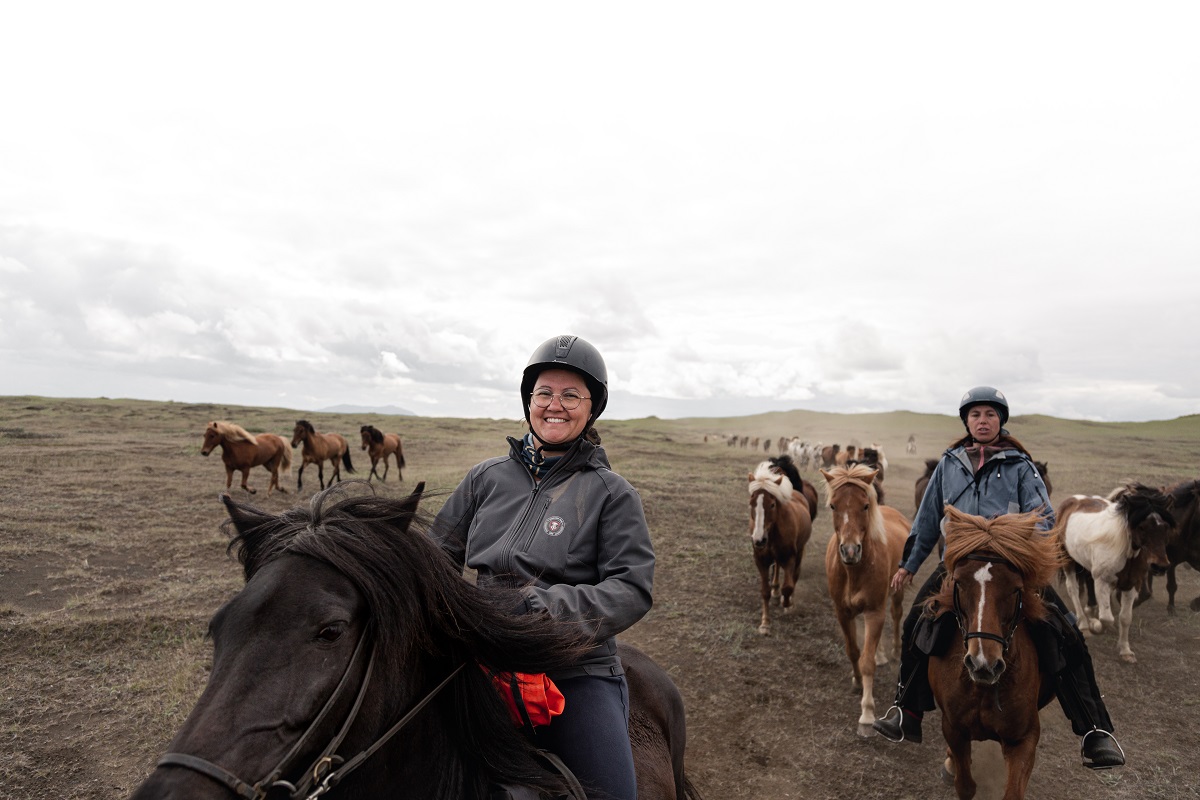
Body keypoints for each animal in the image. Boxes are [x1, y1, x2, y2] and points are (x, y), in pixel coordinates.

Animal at [744, 460, 820, 633]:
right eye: (751, 503)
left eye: (772, 504)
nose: (759, 540)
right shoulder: (760, 560)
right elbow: (765, 591)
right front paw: (765, 623)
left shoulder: (790, 557)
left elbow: (788, 586)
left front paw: (787, 603)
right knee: (777, 568)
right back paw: (775, 589)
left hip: (799, 552)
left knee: (795, 575)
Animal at [825, 462, 907, 738]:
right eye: (833, 505)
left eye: (864, 505)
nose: (850, 551)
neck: (855, 571)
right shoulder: (842, 612)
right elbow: (853, 651)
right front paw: (857, 682)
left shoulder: (874, 611)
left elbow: (867, 662)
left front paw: (867, 714)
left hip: (895, 593)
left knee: (896, 614)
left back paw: (894, 651)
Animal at [921, 506, 1065, 800]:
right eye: (959, 584)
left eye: (1016, 589)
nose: (982, 664)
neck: (981, 689)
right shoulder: (953, 729)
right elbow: (965, 785)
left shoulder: (1024, 739)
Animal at [1060, 482, 1171, 662]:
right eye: (1142, 527)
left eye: (1166, 527)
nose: (1160, 566)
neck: (1127, 553)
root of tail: (1072, 500)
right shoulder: (1103, 581)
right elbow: (1106, 618)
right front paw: (1094, 625)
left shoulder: (1131, 584)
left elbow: (1125, 618)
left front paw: (1125, 650)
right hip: (1067, 560)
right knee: (1073, 590)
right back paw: (1084, 624)